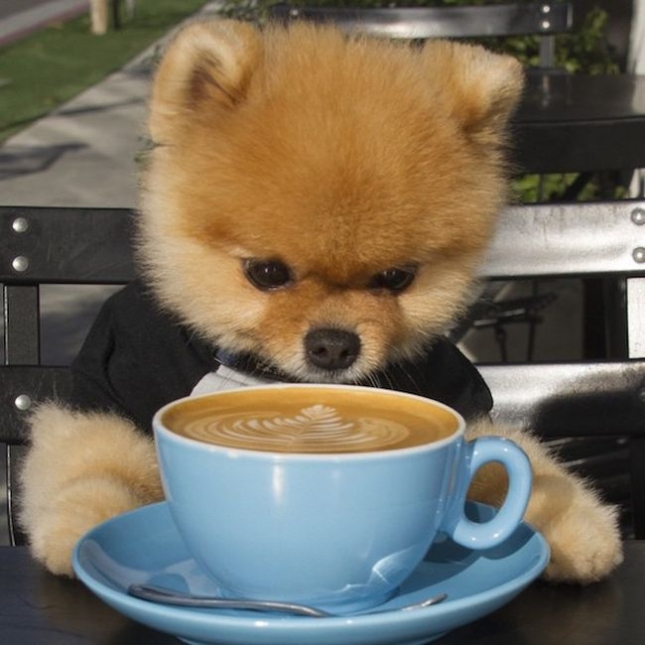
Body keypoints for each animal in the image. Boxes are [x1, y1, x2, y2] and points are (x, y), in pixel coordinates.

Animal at [22, 21, 620, 584]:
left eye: (396, 278)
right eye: (266, 273)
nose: (334, 345)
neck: (267, 375)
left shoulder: (452, 396)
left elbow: (504, 462)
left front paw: (572, 523)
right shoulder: (110, 382)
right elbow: (97, 458)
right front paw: (86, 526)